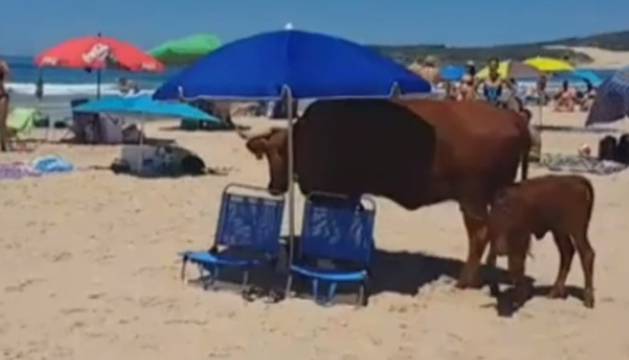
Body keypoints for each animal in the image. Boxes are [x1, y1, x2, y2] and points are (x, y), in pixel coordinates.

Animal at [238, 98, 528, 290]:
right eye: (266, 154)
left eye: (279, 153)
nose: (273, 186)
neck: (306, 136)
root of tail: (511, 116)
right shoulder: (350, 194)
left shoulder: (332, 194)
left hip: (472, 200)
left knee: (479, 235)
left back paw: (465, 281)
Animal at [484, 174, 596, 310]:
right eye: (493, 225)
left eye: (509, 224)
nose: (501, 249)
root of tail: (578, 180)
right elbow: (500, 263)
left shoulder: (522, 241)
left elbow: (517, 266)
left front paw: (519, 298)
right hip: (559, 231)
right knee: (567, 253)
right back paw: (555, 292)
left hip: (577, 230)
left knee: (586, 254)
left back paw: (588, 299)